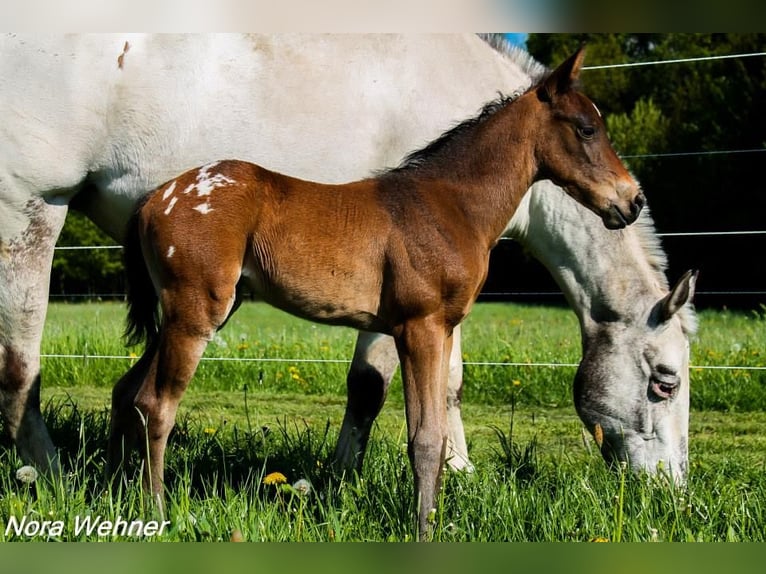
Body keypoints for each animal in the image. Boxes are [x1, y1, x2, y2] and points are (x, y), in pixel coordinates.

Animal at [0, 35, 692, 486]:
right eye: (665, 380)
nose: (670, 488)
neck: (445, 193)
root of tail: (159, 197)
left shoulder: (440, 318)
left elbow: (445, 387)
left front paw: (454, 474)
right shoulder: (408, 320)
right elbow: (374, 390)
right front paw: (350, 479)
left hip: (196, 309)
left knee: (127, 392)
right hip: (36, 212)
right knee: (31, 366)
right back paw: (55, 475)